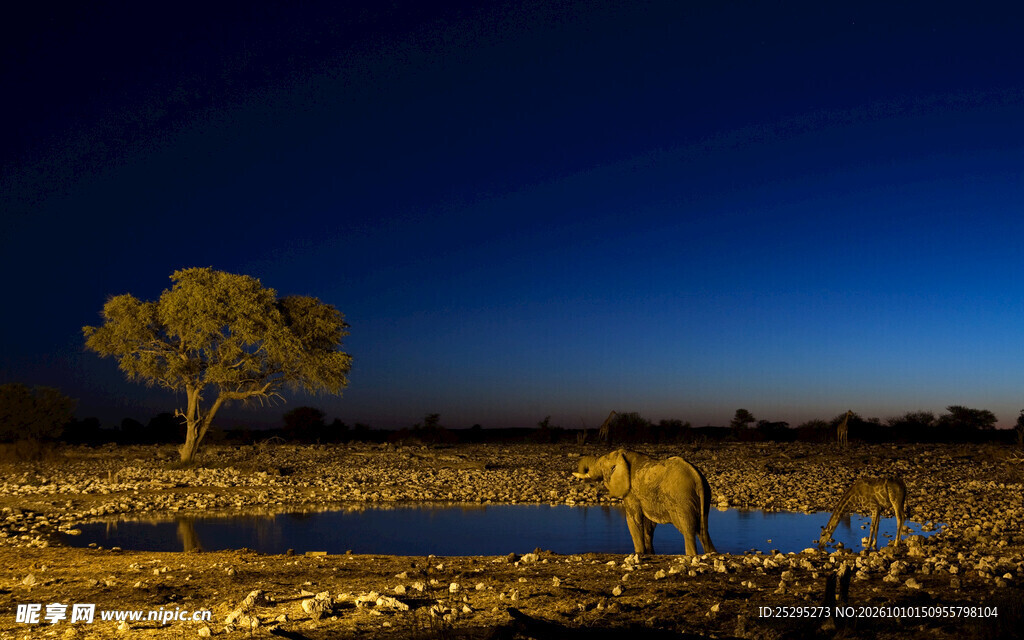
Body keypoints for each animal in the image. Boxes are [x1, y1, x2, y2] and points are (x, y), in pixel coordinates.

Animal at [573, 449, 716, 556]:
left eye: (601, 464)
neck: (622, 455)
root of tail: (697, 477)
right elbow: (649, 524)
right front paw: (649, 553)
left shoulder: (631, 492)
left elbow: (633, 519)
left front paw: (639, 553)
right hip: (704, 497)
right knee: (703, 529)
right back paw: (711, 553)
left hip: (682, 498)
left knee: (688, 529)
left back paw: (691, 555)